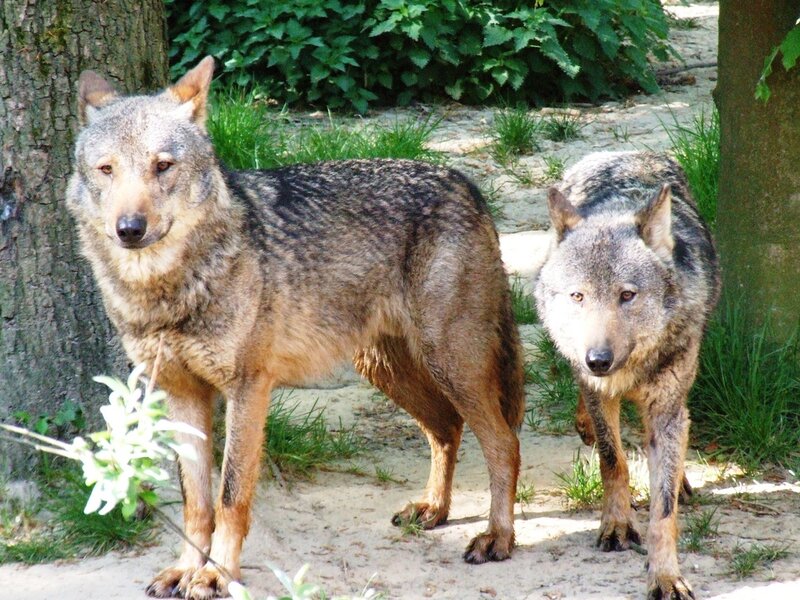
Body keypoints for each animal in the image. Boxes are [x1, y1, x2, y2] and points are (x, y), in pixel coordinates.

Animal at [67, 57, 525, 599]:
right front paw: (184, 568)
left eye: (163, 166)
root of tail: (463, 181)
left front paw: (217, 574)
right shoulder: (181, 394)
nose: (129, 229)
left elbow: (230, 495)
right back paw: (434, 509)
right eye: (106, 169)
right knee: (446, 428)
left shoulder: (248, 389)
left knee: (503, 442)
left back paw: (498, 537)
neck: (170, 290)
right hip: (387, 369)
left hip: (451, 364)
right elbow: (195, 501)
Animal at [534, 151, 720, 599]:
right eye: (579, 296)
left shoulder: (667, 408)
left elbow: (663, 508)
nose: (598, 360)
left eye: (627, 295)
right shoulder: (599, 391)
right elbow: (612, 459)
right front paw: (617, 525)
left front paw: (666, 575)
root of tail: (621, 154)